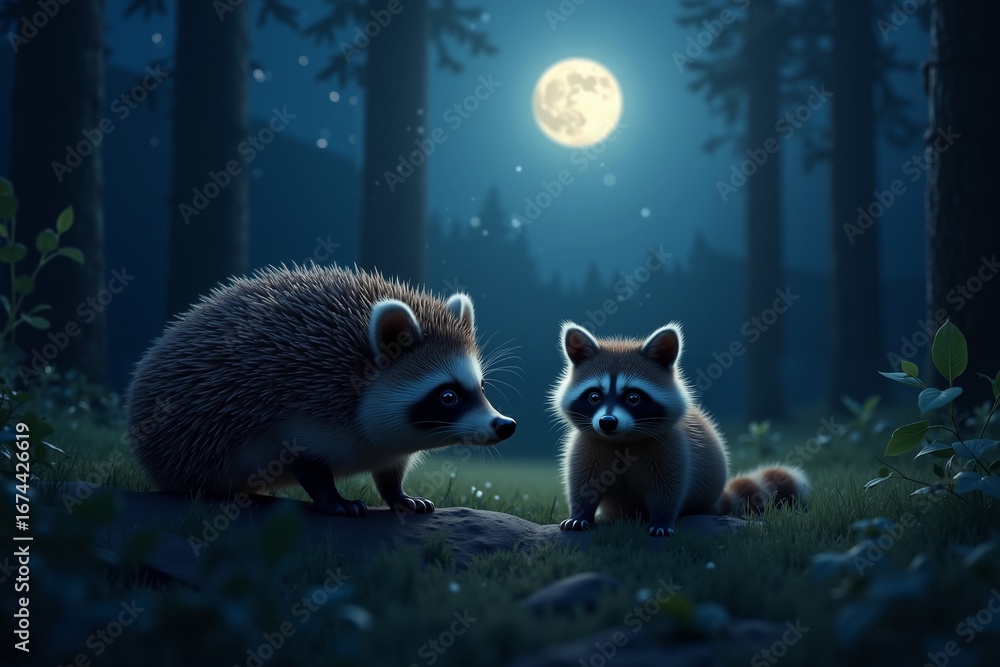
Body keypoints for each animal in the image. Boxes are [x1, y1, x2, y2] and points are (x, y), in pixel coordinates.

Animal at [126, 265, 516, 517]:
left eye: (481, 386)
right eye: (448, 396)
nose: (505, 424)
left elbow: (391, 471)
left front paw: (398, 494)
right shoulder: (294, 410)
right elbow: (308, 465)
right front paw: (334, 500)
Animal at [551, 322, 808, 536]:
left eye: (633, 398)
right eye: (594, 397)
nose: (607, 422)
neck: (622, 440)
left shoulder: (672, 447)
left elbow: (667, 488)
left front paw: (662, 520)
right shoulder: (588, 445)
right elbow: (583, 482)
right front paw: (580, 514)